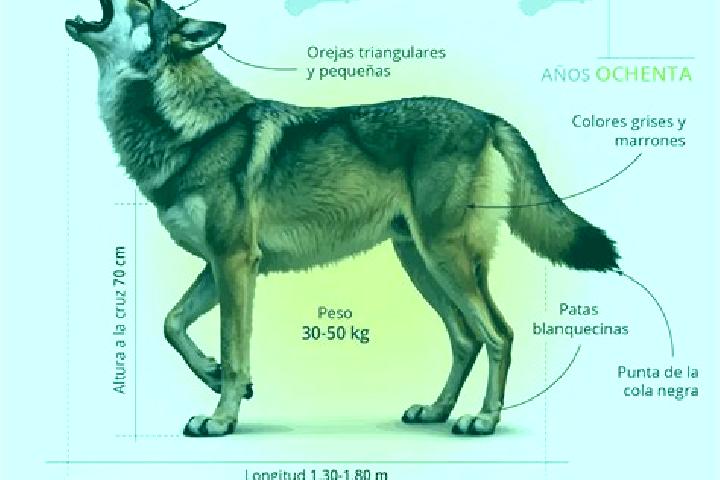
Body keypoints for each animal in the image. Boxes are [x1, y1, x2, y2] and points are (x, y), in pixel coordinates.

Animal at [66, 0, 619, 437]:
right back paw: (437, 411)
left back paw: (482, 420)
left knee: (498, 334)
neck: (188, 129)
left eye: (142, 3)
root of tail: (487, 117)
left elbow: (232, 344)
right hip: (420, 263)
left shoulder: (235, 261)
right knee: (466, 339)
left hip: (445, 260)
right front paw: (216, 375)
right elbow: (173, 324)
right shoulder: (221, 264)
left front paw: (221, 419)